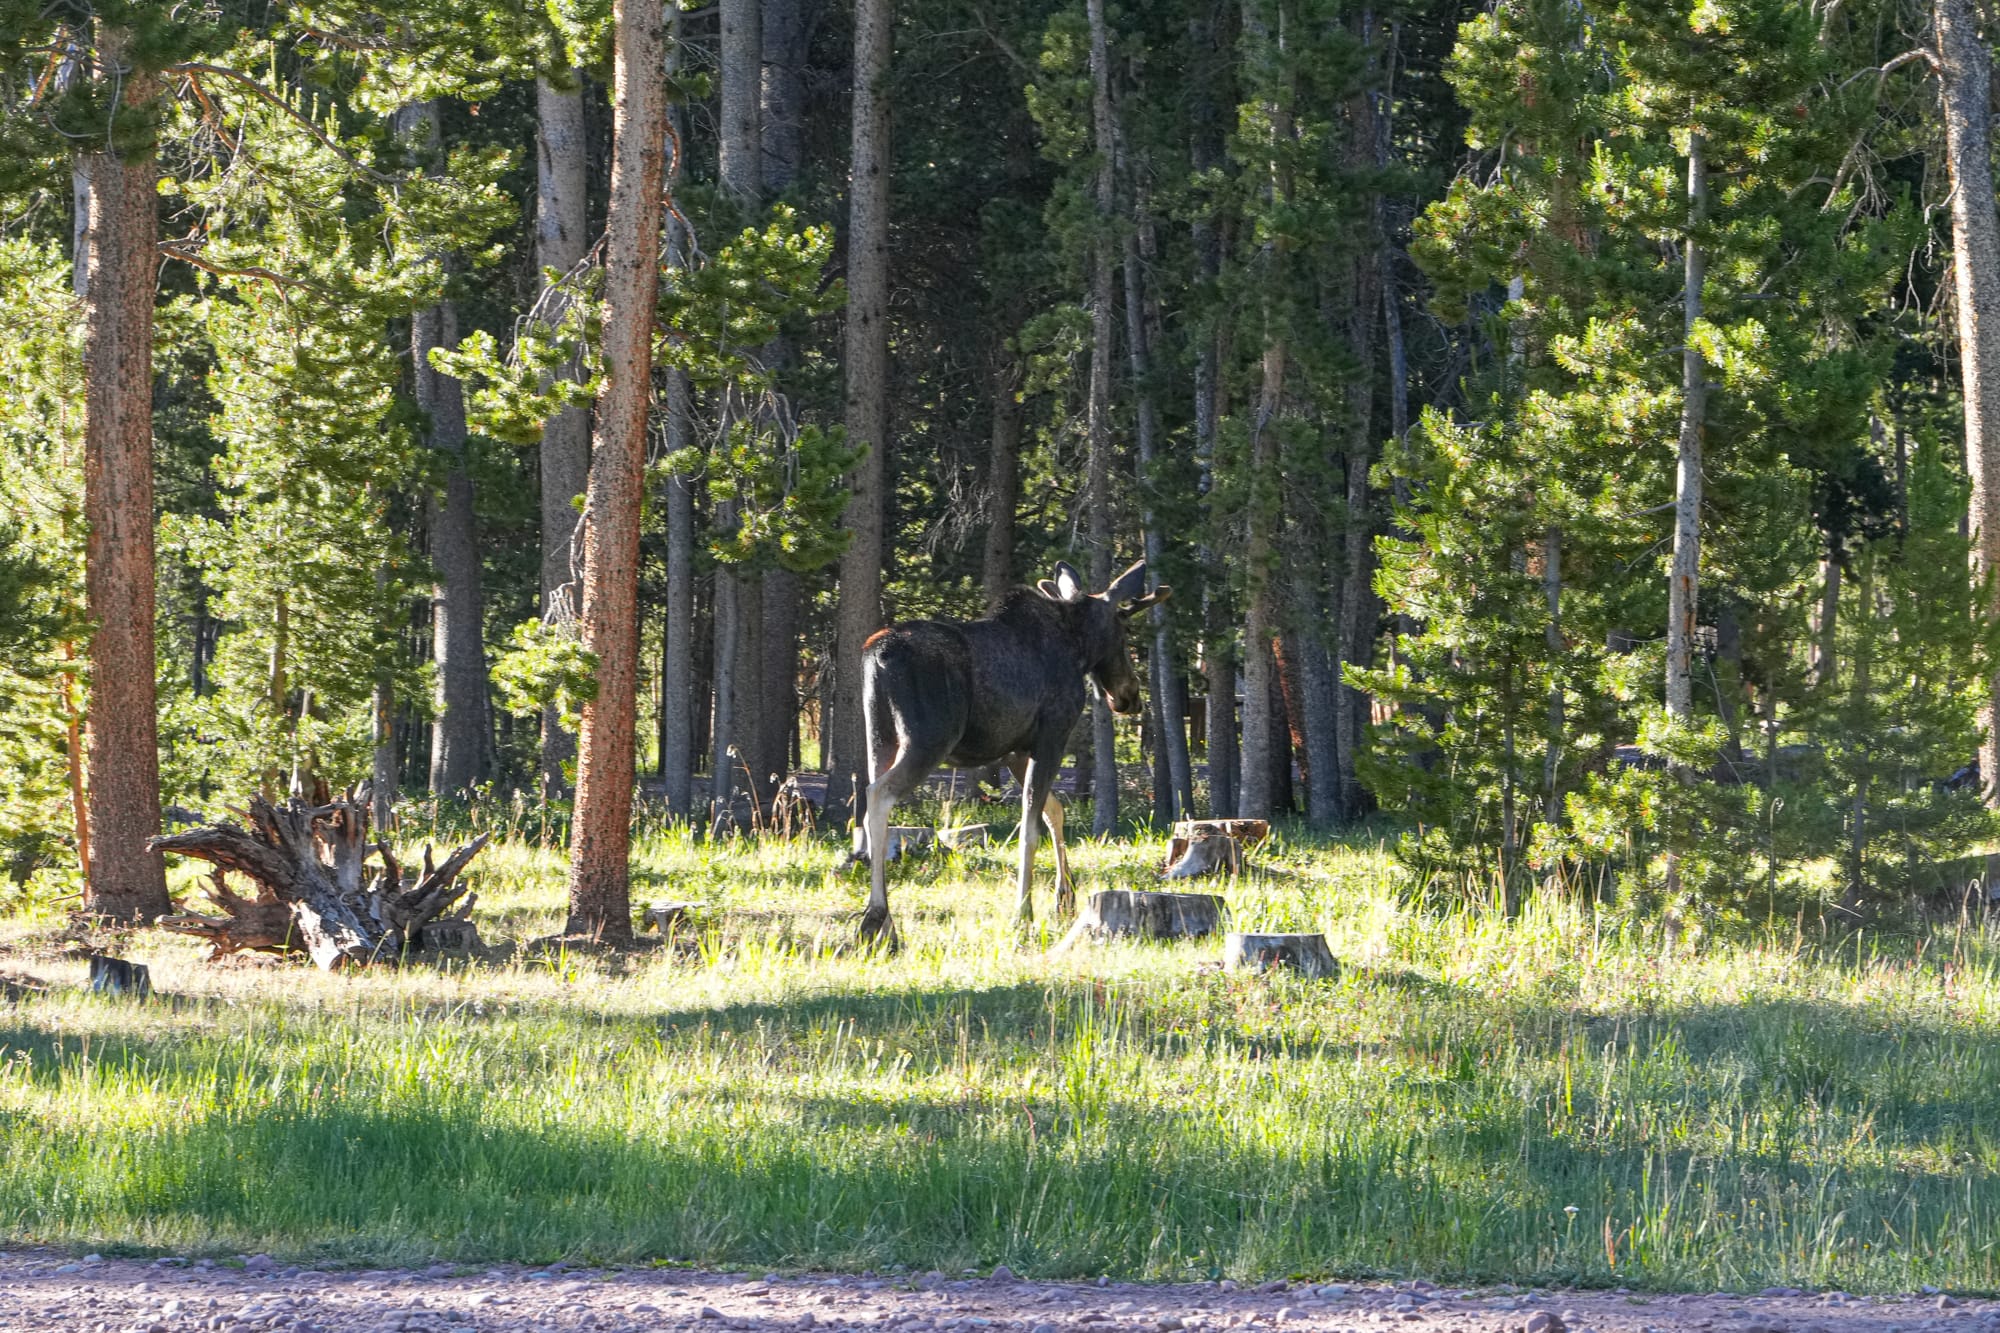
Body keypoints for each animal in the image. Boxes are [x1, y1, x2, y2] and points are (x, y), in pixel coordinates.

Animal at [851, 558, 1169, 943]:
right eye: (1123, 631)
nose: (1130, 696)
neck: (1078, 648)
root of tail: (876, 656)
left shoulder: (1017, 750)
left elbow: (1054, 810)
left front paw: (1066, 897)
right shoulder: (1052, 734)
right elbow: (1030, 829)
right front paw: (1024, 914)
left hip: (879, 737)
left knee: (870, 802)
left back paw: (883, 920)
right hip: (928, 739)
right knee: (878, 795)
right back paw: (876, 918)